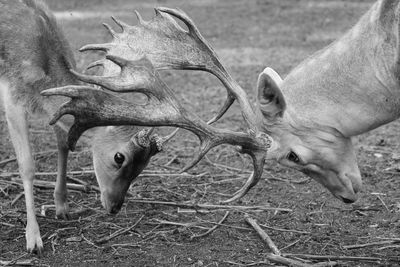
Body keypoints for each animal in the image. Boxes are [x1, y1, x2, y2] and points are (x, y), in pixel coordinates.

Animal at [0, 0, 166, 255]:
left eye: (146, 163)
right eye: (119, 157)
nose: (114, 207)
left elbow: (64, 144)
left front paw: (62, 207)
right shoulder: (12, 96)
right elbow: (27, 166)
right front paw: (33, 238)